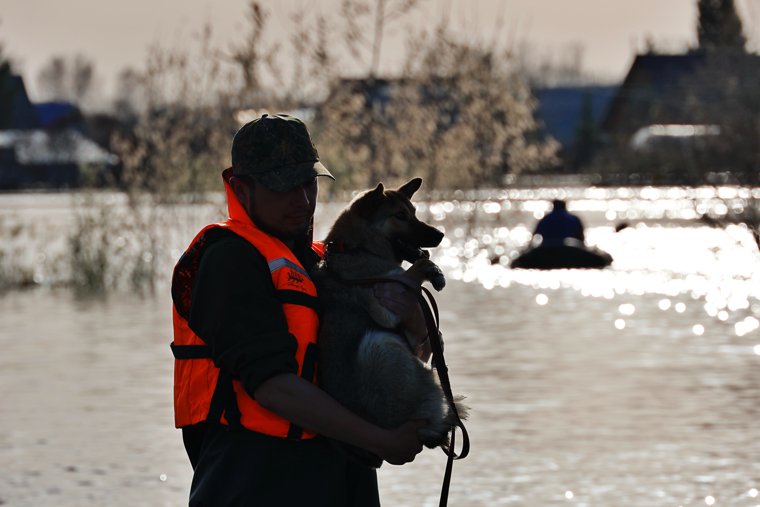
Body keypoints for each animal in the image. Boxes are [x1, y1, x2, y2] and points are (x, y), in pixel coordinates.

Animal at [312, 179, 466, 468]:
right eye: (400, 216)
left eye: (413, 212)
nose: (440, 235)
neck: (357, 248)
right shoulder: (387, 307)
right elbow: (411, 271)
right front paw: (433, 271)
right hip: (380, 346)